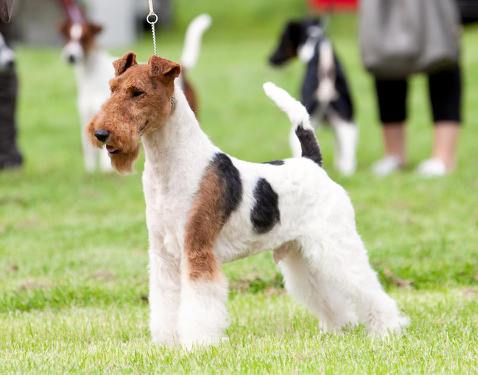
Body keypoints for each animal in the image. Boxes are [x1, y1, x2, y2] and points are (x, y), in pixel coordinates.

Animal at [87, 53, 408, 350]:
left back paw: (387, 329)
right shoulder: (164, 257)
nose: (101, 133)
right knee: (327, 294)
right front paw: (167, 343)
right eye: (112, 88)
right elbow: (165, 304)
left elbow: (200, 306)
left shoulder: (197, 251)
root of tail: (312, 163)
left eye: (137, 92)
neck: (171, 165)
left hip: (335, 244)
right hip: (301, 254)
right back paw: (336, 327)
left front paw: (198, 345)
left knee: (368, 287)